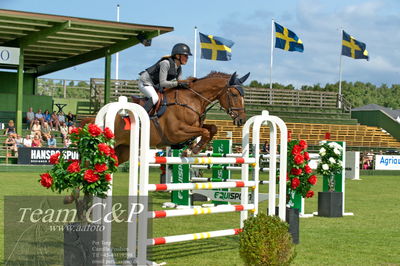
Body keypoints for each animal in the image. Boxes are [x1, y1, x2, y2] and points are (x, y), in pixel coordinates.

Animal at [87, 71, 248, 163]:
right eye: (234, 95)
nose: (242, 119)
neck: (192, 100)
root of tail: (94, 120)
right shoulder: (176, 133)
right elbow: (205, 132)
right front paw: (192, 150)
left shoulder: (196, 125)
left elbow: (212, 129)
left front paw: (190, 149)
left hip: (123, 151)